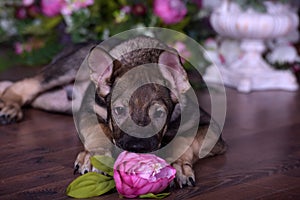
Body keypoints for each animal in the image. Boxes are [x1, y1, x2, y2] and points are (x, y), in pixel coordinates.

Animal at [0, 36, 225, 188]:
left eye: (159, 114)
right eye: (118, 110)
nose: (136, 148)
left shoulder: (207, 125)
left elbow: (185, 140)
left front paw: (178, 166)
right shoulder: (89, 111)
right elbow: (98, 130)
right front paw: (94, 157)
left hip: (56, 102)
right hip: (65, 69)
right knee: (28, 84)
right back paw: (9, 104)